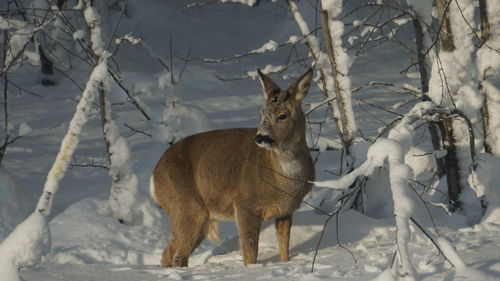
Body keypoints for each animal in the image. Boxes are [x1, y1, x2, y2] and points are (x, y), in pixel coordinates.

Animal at [148, 68, 314, 264]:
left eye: (283, 115)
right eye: (261, 113)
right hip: (185, 207)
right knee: (176, 254)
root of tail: (154, 177)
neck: (282, 183)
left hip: (199, 216)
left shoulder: (286, 210)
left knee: (170, 253)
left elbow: (284, 248)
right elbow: (250, 251)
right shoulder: (244, 204)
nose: (260, 137)